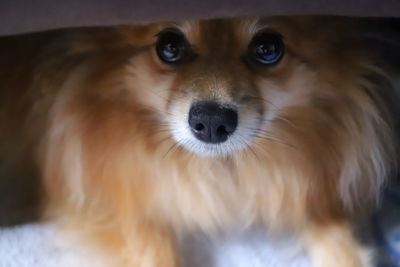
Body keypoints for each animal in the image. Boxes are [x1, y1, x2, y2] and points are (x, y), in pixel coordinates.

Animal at [0, 16, 398, 266]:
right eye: (169, 46)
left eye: (268, 48)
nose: (212, 121)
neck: (221, 168)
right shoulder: (112, 200)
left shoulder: (314, 183)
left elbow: (339, 238)